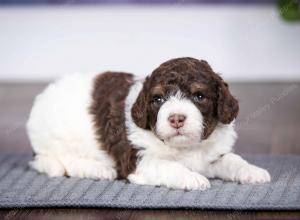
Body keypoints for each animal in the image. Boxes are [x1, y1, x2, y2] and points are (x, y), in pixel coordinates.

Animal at [27, 57, 270, 190]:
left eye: (199, 96)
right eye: (158, 99)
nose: (176, 118)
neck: (186, 148)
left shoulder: (213, 155)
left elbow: (233, 160)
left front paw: (253, 171)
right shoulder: (138, 159)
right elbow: (169, 166)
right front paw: (192, 177)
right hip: (59, 139)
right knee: (65, 161)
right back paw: (99, 170)